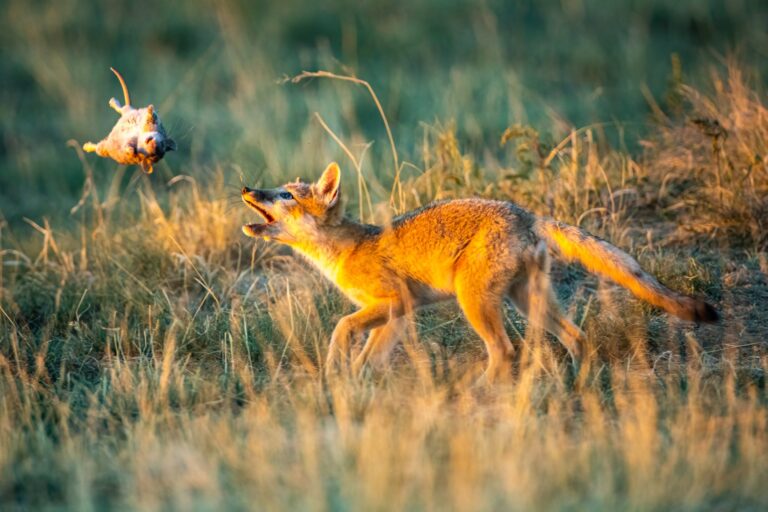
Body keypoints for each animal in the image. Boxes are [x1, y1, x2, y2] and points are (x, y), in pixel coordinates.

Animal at [241, 162, 718, 381]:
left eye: (285, 195)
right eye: (274, 189)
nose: (246, 187)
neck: (348, 247)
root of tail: (526, 213)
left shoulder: (394, 301)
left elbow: (342, 327)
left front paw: (335, 364)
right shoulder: (399, 314)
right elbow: (370, 355)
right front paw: (357, 380)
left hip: (477, 304)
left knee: (505, 350)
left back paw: (482, 390)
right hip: (528, 302)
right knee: (577, 337)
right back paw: (578, 383)